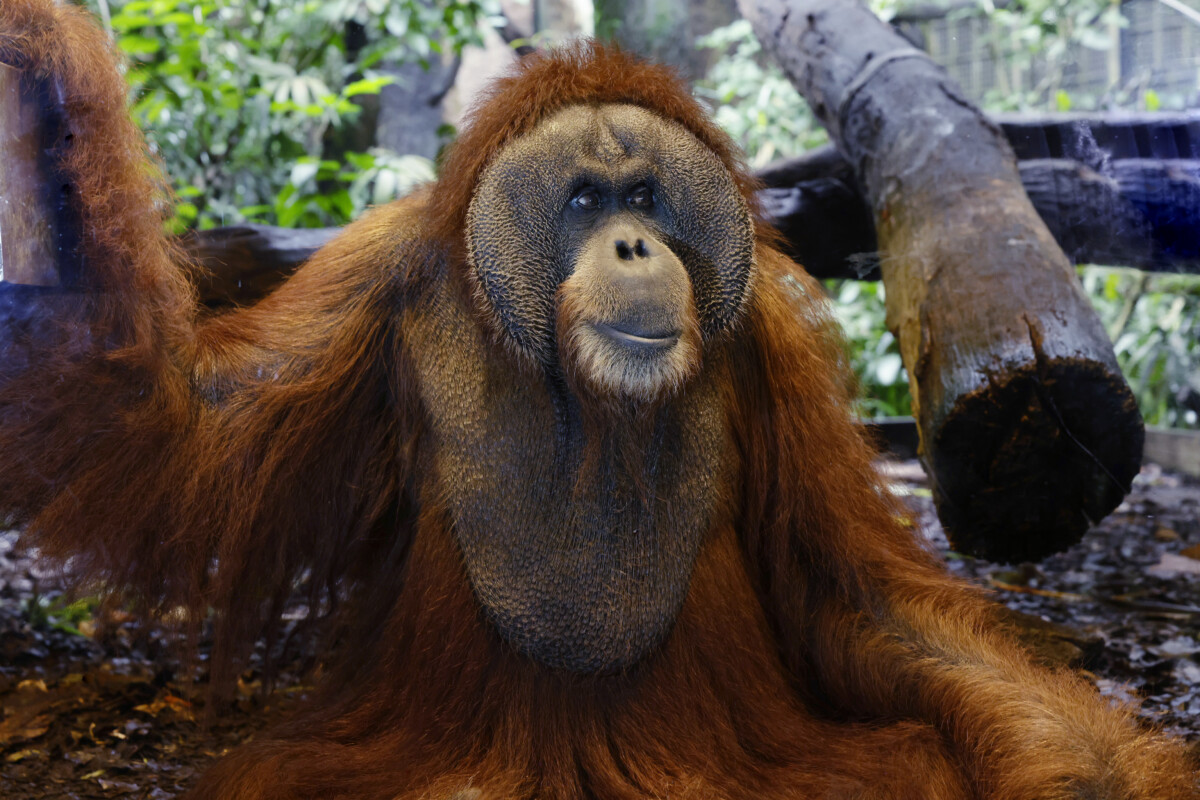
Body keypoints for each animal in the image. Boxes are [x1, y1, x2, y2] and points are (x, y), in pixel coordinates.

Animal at [0, 2, 1196, 798]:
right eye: (584, 199)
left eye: (647, 198)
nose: (632, 245)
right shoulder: (373, 280)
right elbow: (180, 427)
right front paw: (40, 80)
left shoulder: (769, 341)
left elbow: (857, 600)